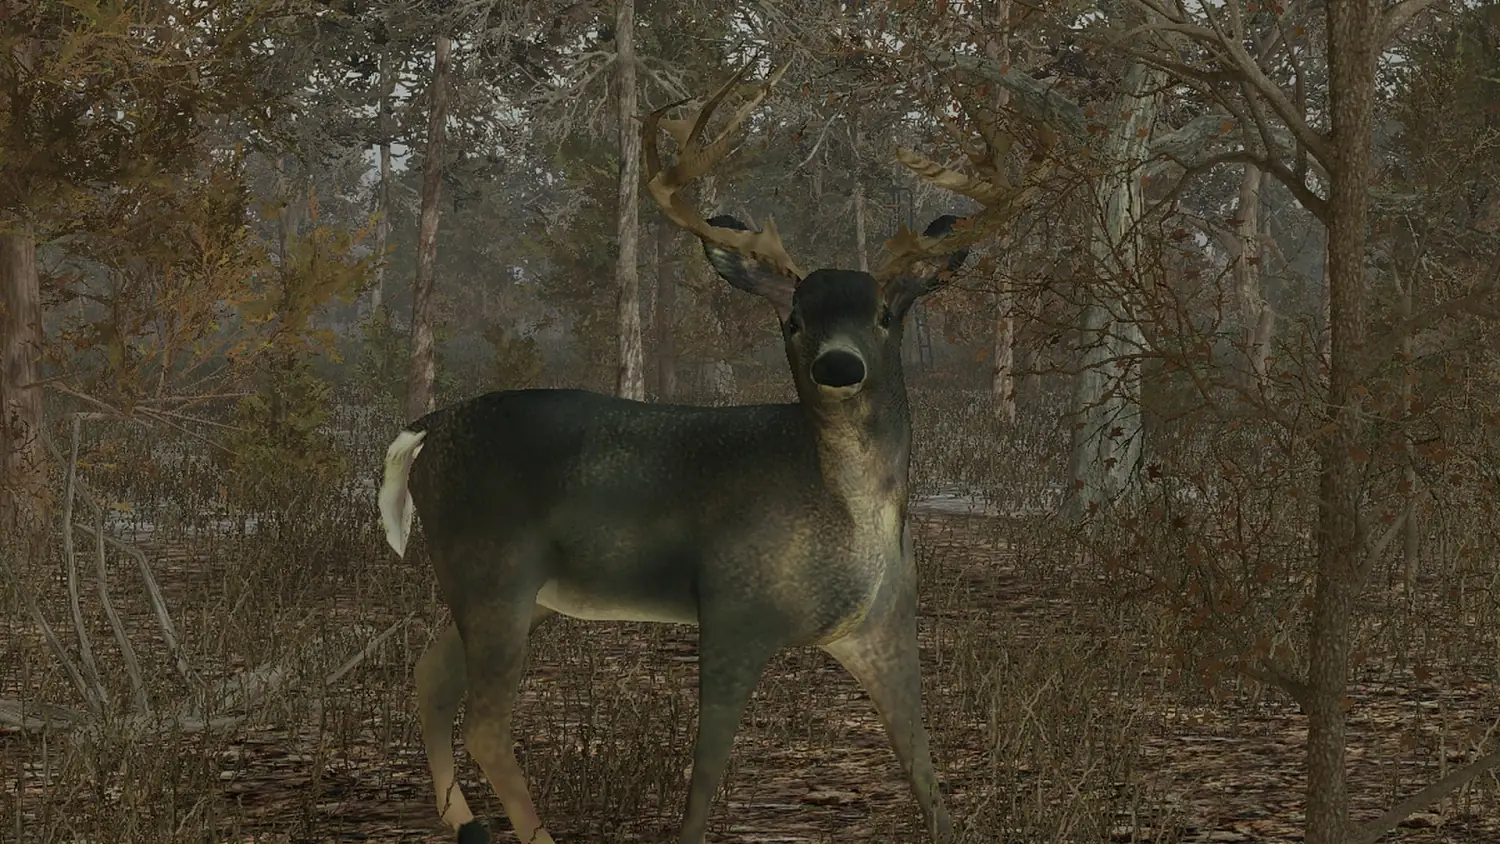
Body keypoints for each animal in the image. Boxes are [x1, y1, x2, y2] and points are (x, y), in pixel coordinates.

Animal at [379, 61, 1050, 844]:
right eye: (792, 319)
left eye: (886, 314)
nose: (839, 366)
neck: (844, 513)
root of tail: (427, 426)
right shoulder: (731, 605)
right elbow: (705, 778)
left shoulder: (886, 625)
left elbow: (924, 771)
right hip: (492, 567)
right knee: (485, 721)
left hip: (517, 591)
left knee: (430, 679)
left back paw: (461, 821)